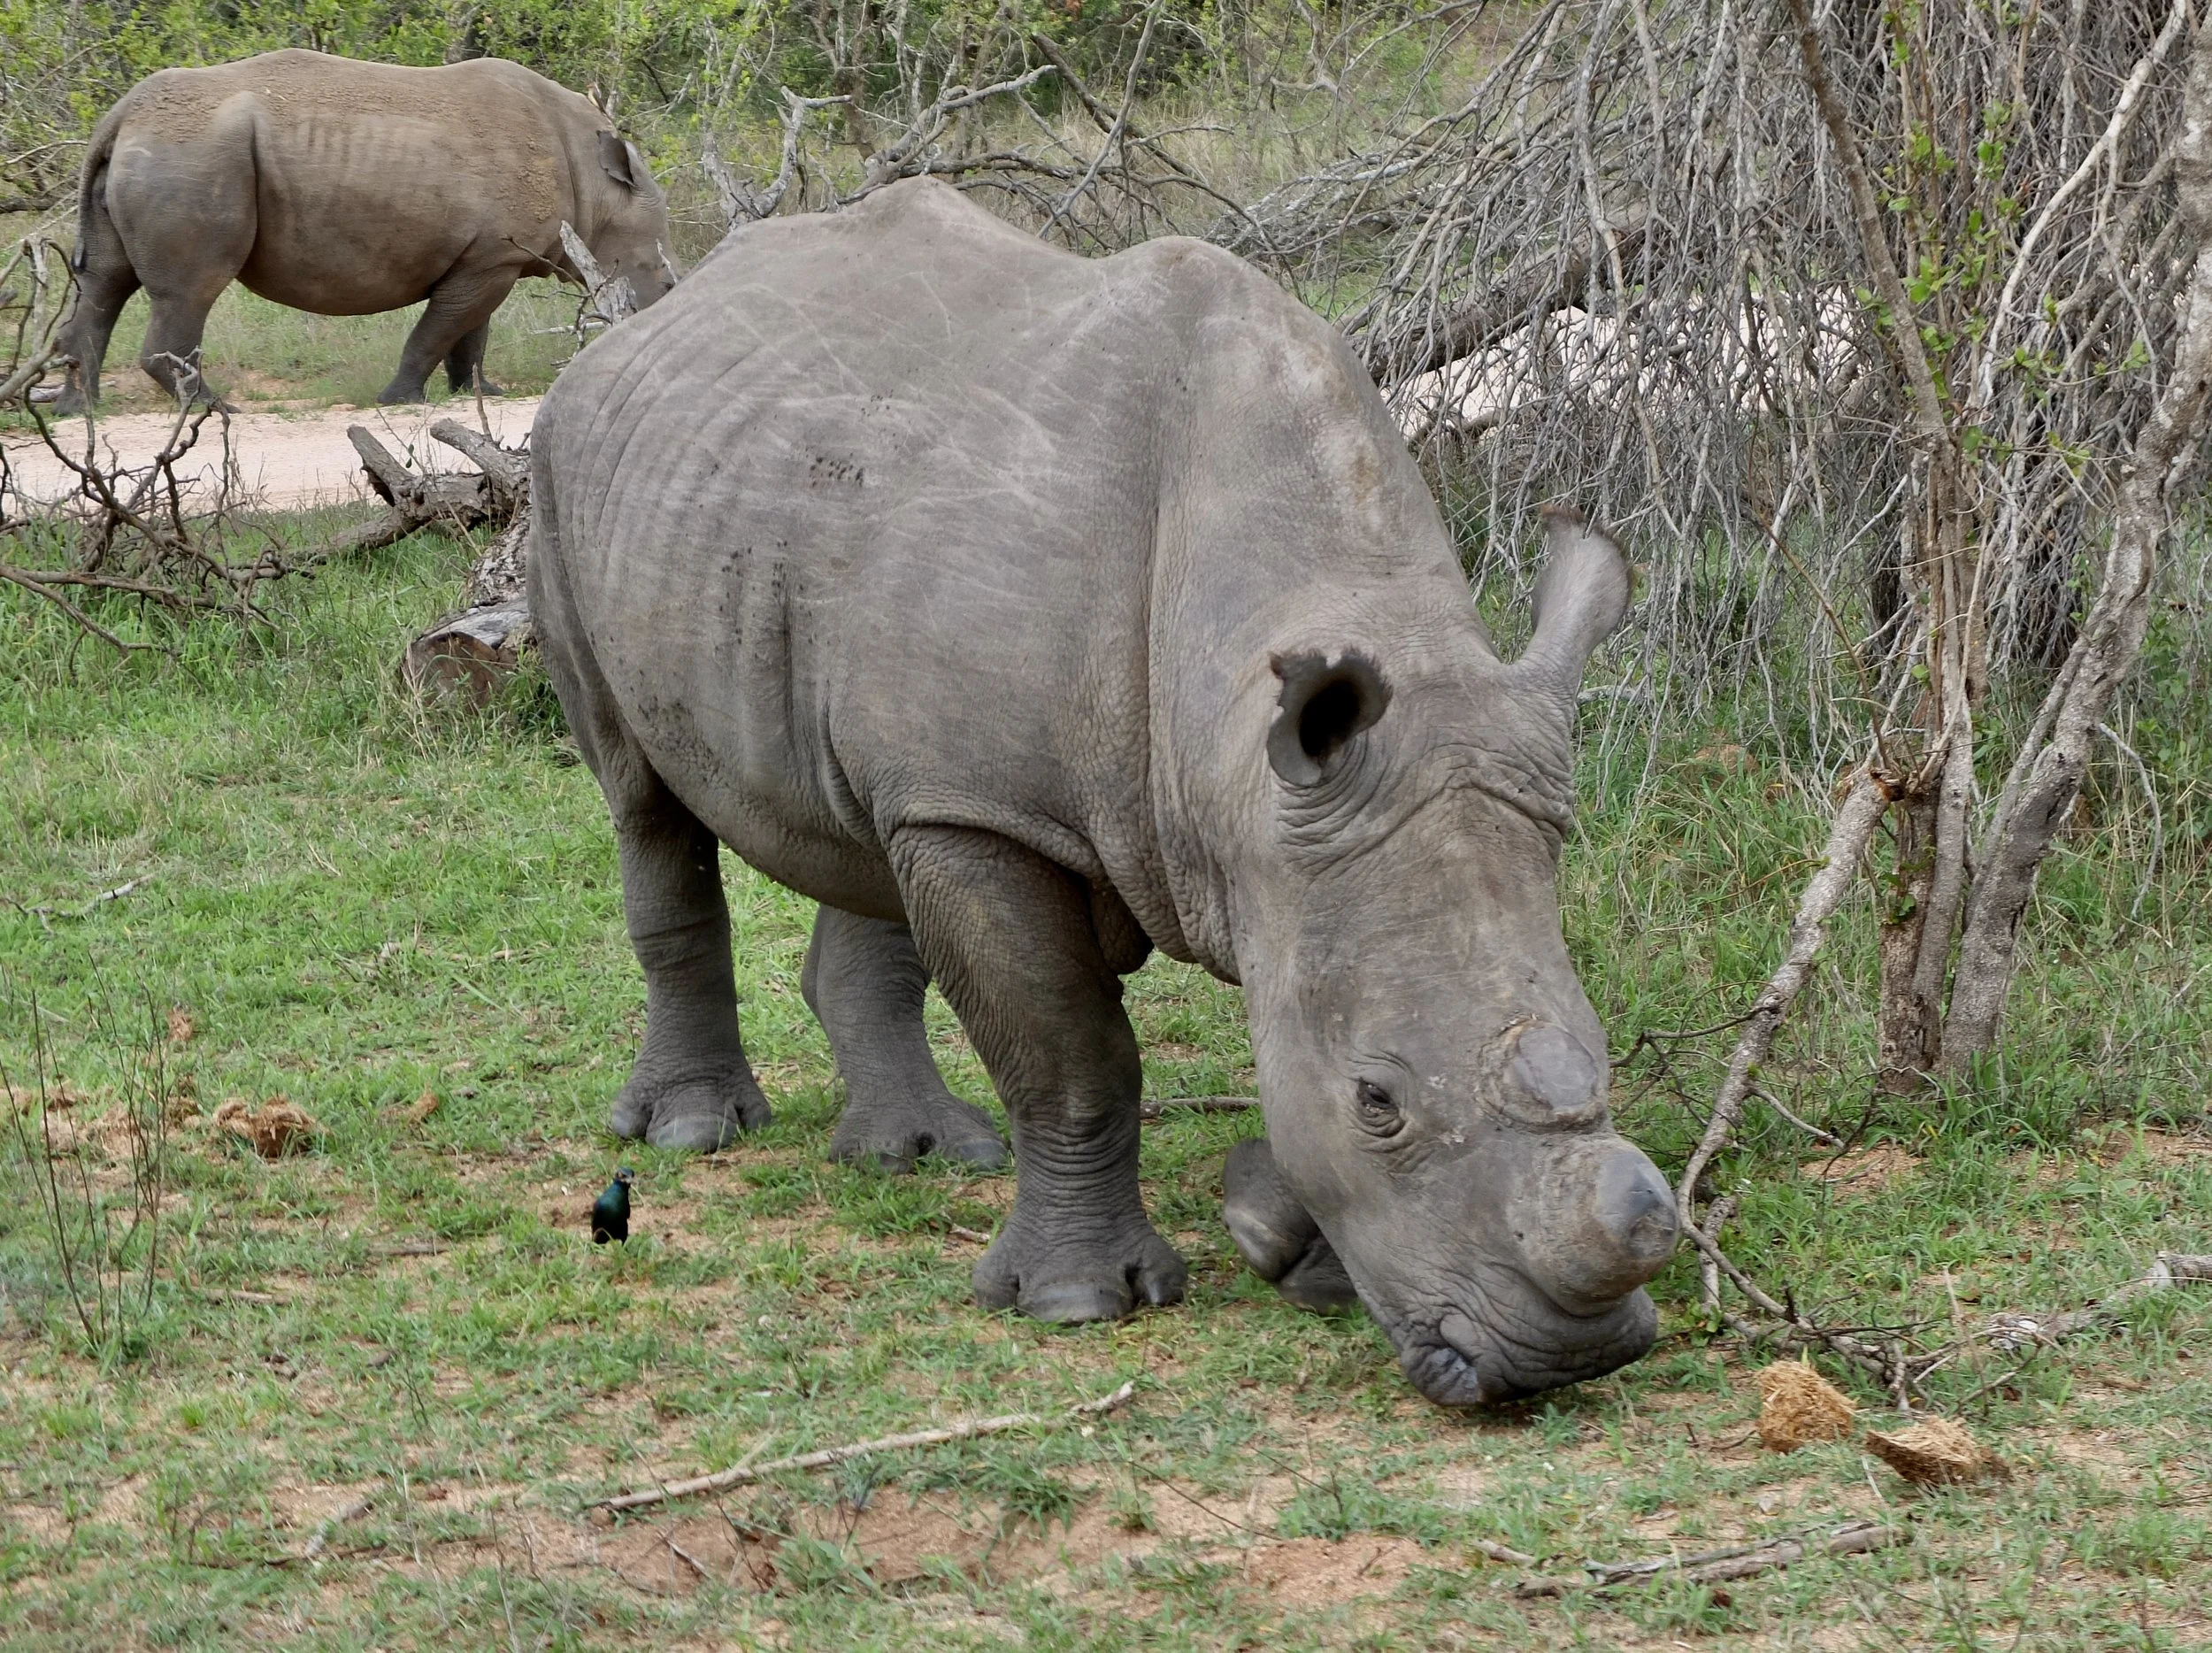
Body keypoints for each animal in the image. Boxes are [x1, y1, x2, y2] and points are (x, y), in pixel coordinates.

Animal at [52, 49, 673, 413]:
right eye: (666, 285)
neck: (597, 183)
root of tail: (121, 115)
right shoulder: (491, 258)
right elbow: (440, 330)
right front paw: (399, 401)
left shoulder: (491, 256)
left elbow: (470, 333)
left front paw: (479, 393)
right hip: (193, 156)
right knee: (190, 290)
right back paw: (213, 409)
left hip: (160, 152)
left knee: (105, 281)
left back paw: (75, 409)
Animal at [530, 179, 1679, 1406]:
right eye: (1378, 1101)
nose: (1562, 1358)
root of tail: (656, 315)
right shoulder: (999, 812)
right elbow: (1072, 1051)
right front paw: (1079, 1303)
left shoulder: (1263, 835)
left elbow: (1273, 1026)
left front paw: (1288, 1243)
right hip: (563, 475)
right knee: (643, 798)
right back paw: (694, 1131)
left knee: (869, 825)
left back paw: (922, 1154)